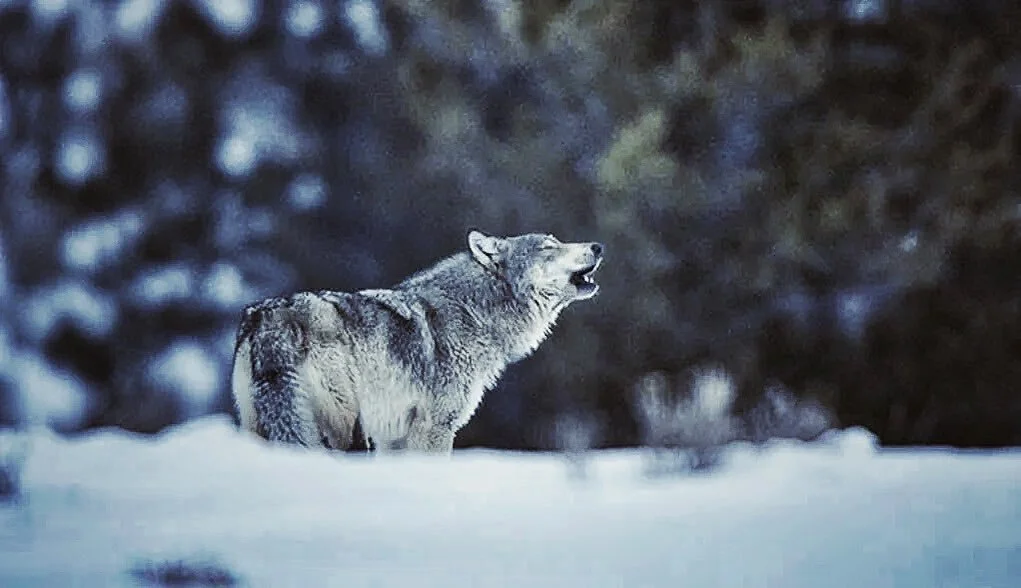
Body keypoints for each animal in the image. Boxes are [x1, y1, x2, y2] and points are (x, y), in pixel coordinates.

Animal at [230, 230, 604, 453]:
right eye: (548, 247)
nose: (598, 246)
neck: (475, 310)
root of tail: (268, 317)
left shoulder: (393, 436)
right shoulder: (435, 426)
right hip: (342, 427)